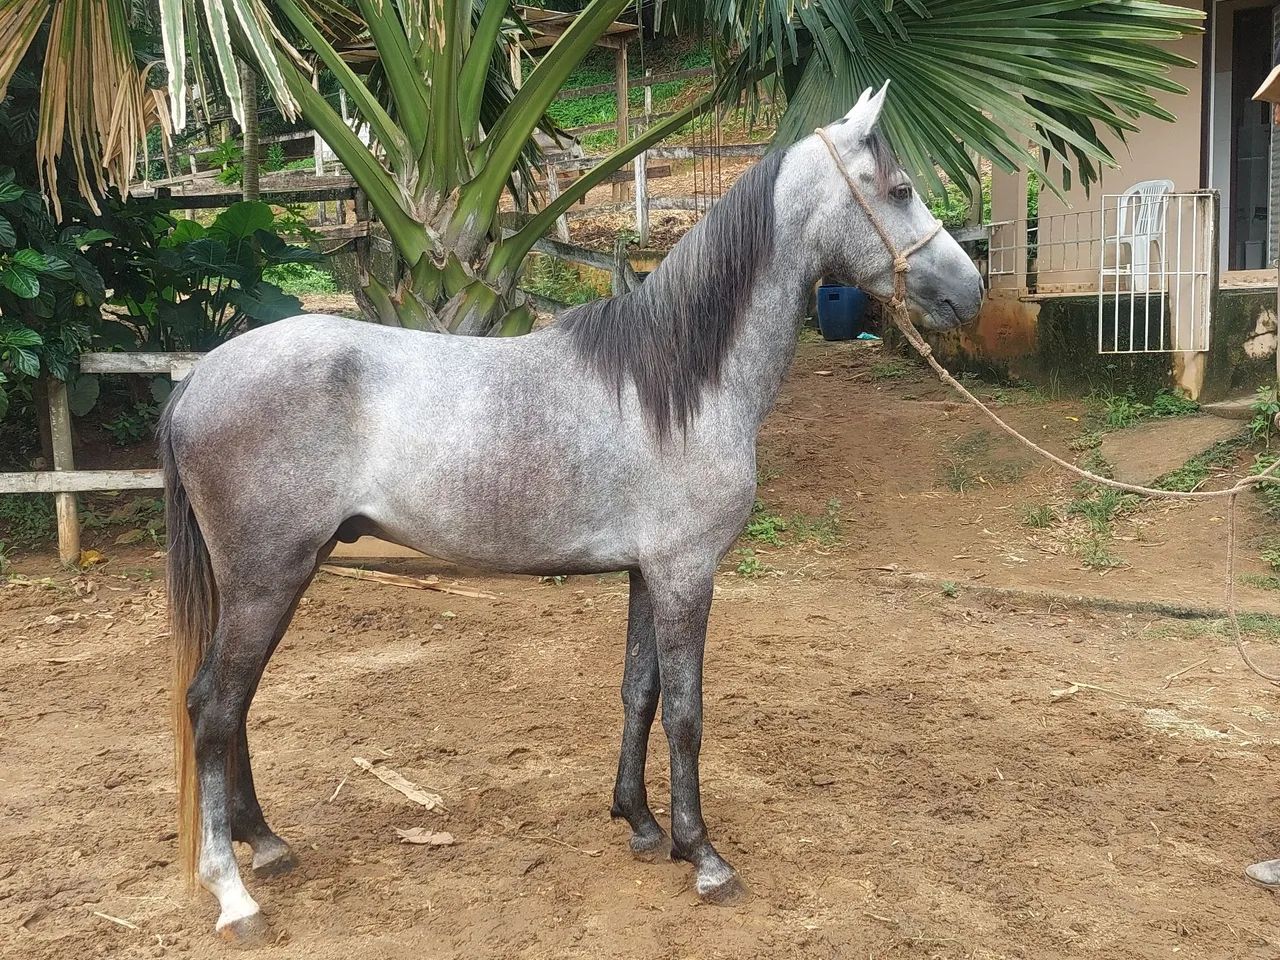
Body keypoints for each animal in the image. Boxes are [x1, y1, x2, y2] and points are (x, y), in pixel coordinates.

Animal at [158, 83, 984, 943]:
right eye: (900, 189)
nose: (972, 291)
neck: (679, 382)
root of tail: (200, 378)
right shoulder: (686, 573)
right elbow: (686, 712)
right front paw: (704, 855)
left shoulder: (647, 574)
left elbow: (639, 693)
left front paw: (642, 824)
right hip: (265, 579)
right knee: (214, 708)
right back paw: (232, 891)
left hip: (281, 576)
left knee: (231, 704)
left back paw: (266, 842)